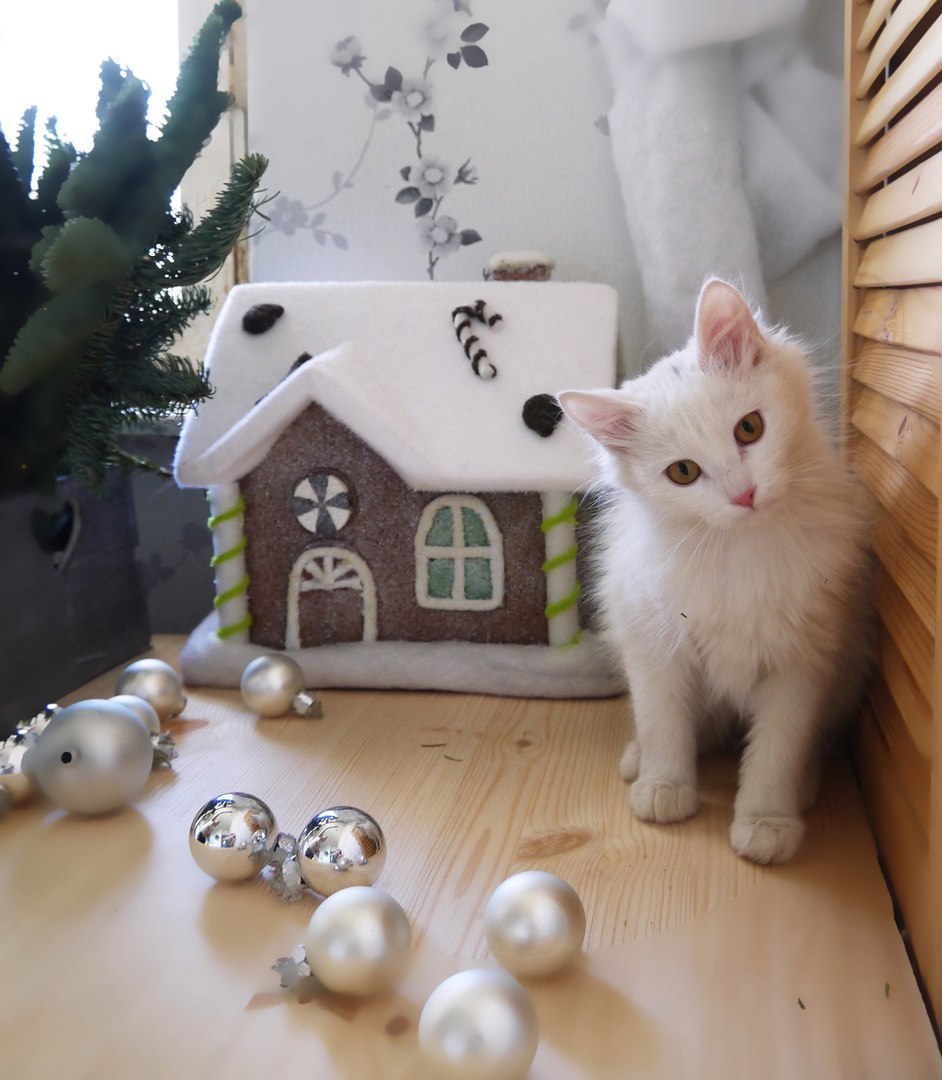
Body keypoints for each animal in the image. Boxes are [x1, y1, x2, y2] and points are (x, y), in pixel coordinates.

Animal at [559, 279, 872, 865]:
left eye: (749, 428)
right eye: (683, 472)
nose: (743, 494)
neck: (739, 551)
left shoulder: (802, 661)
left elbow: (777, 749)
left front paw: (767, 819)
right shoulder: (655, 643)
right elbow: (664, 721)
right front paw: (665, 785)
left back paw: (804, 784)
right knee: (688, 726)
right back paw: (640, 760)